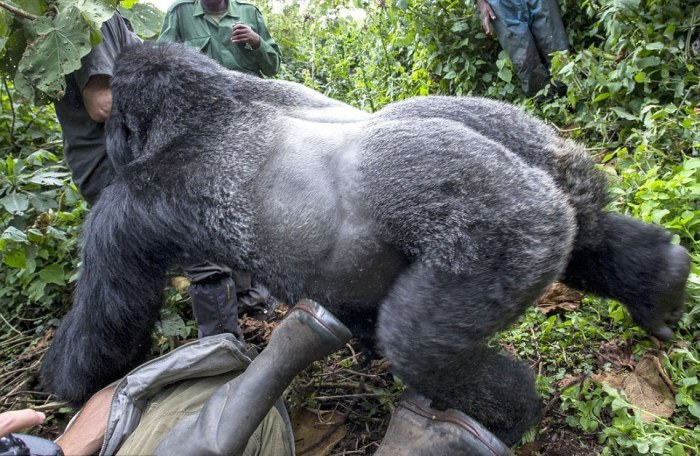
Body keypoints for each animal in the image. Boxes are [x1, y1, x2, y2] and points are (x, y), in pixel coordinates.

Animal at [39, 44, 688, 448]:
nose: (108, 140)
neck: (208, 105)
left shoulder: (128, 210)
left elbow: (106, 320)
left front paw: (64, 389)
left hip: (507, 227)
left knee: (421, 345)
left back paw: (507, 414)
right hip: (546, 157)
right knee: (589, 230)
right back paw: (659, 280)